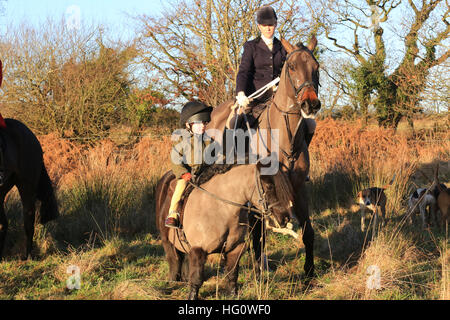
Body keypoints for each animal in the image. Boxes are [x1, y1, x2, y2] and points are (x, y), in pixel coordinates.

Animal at [156, 161, 294, 298]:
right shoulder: (198, 250)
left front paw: (233, 294)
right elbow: (196, 279)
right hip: (167, 240)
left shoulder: (235, 249)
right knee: (174, 260)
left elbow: (232, 275)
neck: (220, 209)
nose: (285, 218)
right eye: (269, 186)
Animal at [206, 37, 322, 278]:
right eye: (292, 66)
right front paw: (259, 269)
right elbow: (259, 233)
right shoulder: (260, 189)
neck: (284, 138)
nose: (310, 104)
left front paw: (309, 272)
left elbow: (307, 231)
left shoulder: (298, 188)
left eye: (316, 67)